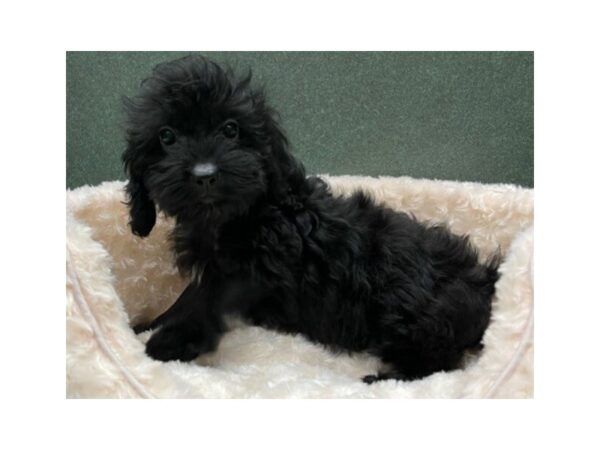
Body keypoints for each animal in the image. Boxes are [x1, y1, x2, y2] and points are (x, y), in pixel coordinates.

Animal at [120, 54, 496, 382]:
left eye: (230, 129)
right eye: (166, 136)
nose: (204, 175)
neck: (233, 219)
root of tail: (486, 283)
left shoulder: (254, 272)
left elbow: (207, 304)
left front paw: (168, 341)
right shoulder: (215, 271)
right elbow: (188, 298)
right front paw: (145, 325)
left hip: (410, 309)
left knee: (438, 362)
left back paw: (382, 380)